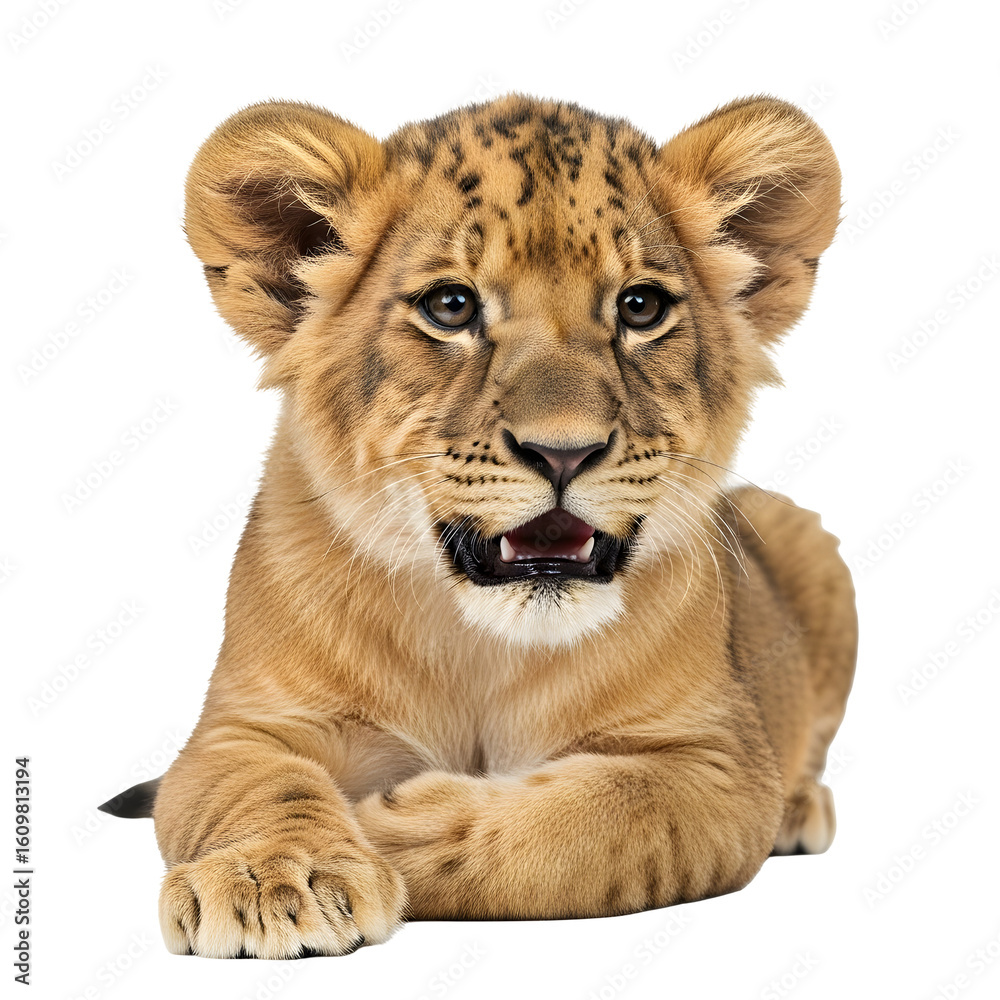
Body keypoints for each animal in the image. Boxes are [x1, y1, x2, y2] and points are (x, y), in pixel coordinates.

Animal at [99, 93, 857, 959]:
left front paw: (383, 829)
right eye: (450, 306)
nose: (564, 452)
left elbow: (588, 825)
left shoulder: (717, 765)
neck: (482, 645)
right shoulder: (239, 728)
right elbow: (256, 787)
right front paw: (272, 880)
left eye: (640, 307)